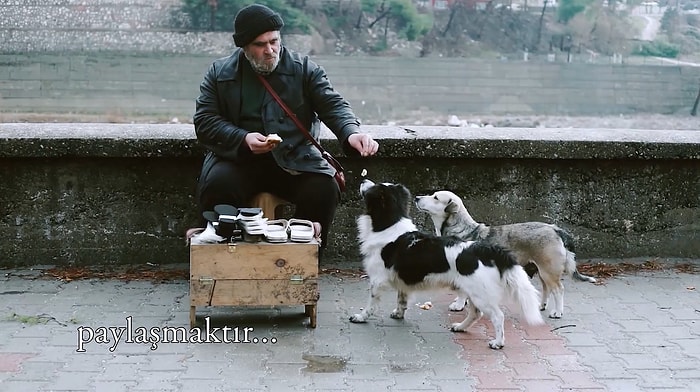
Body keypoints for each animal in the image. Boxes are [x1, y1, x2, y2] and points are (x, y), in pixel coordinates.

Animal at [348, 180, 540, 350]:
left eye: (373, 187)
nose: (363, 179)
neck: (389, 225)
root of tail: (485, 249)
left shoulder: (377, 280)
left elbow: (371, 303)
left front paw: (361, 317)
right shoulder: (402, 280)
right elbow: (402, 299)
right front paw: (398, 314)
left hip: (481, 295)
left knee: (497, 316)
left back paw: (498, 343)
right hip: (474, 292)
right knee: (475, 313)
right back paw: (460, 327)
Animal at [412, 191, 600, 318]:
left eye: (436, 197)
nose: (416, 197)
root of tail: (555, 229)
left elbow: (461, 292)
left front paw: (458, 305)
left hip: (549, 270)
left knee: (559, 290)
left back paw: (557, 312)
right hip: (542, 270)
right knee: (547, 288)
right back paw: (541, 305)